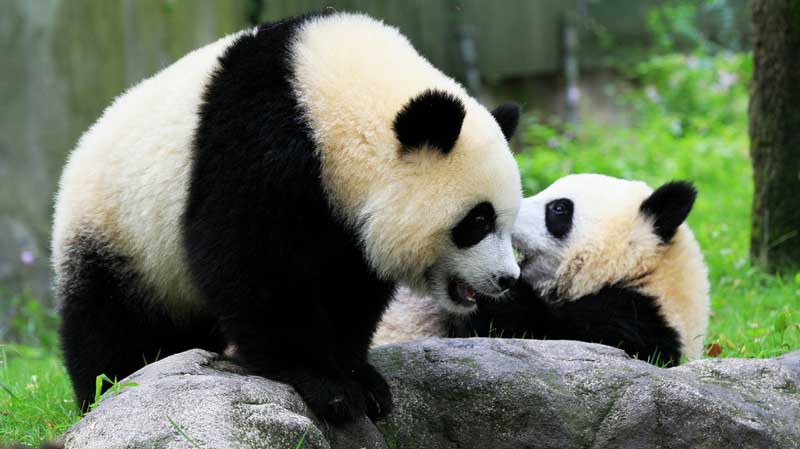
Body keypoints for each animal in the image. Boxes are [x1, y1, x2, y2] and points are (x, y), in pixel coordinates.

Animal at [52, 12, 523, 423]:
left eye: (506, 220)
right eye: (477, 222)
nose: (507, 279)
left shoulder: (343, 219)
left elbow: (350, 287)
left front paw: (362, 379)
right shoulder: (259, 143)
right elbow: (252, 263)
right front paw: (327, 386)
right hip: (121, 234)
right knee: (113, 324)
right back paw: (109, 387)